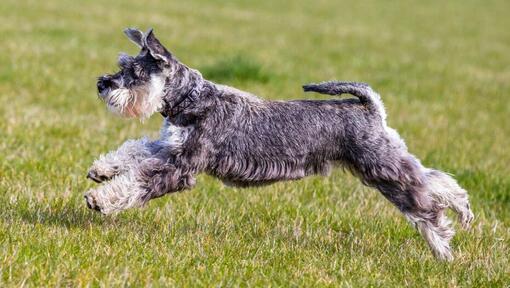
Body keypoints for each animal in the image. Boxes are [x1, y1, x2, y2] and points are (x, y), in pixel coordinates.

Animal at [86, 28, 474, 260]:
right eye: (123, 64)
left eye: (134, 73)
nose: (102, 84)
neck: (191, 99)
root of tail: (370, 108)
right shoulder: (169, 148)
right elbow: (134, 150)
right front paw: (101, 169)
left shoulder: (181, 166)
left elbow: (138, 181)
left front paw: (99, 199)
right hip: (386, 160)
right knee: (435, 179)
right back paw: (463, 210)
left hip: (381, 167)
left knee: (425, 204)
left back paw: (443, 247)